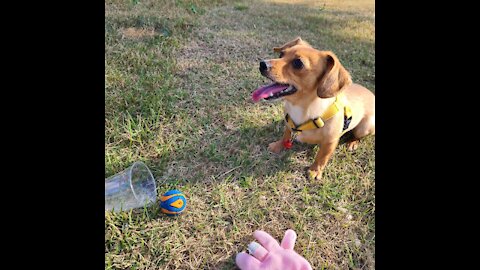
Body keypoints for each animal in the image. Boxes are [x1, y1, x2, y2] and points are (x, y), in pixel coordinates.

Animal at [251, 35, 376, 179]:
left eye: (298, 63)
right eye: (281, 54)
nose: (262, 64)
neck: (301, 108)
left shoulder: (330, 142)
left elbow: (322, 157)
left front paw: (315, 171)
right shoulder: (288, 124)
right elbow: (286, 135)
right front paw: (278, 146)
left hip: (365, 127)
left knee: (358, 135)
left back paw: (352, 142)